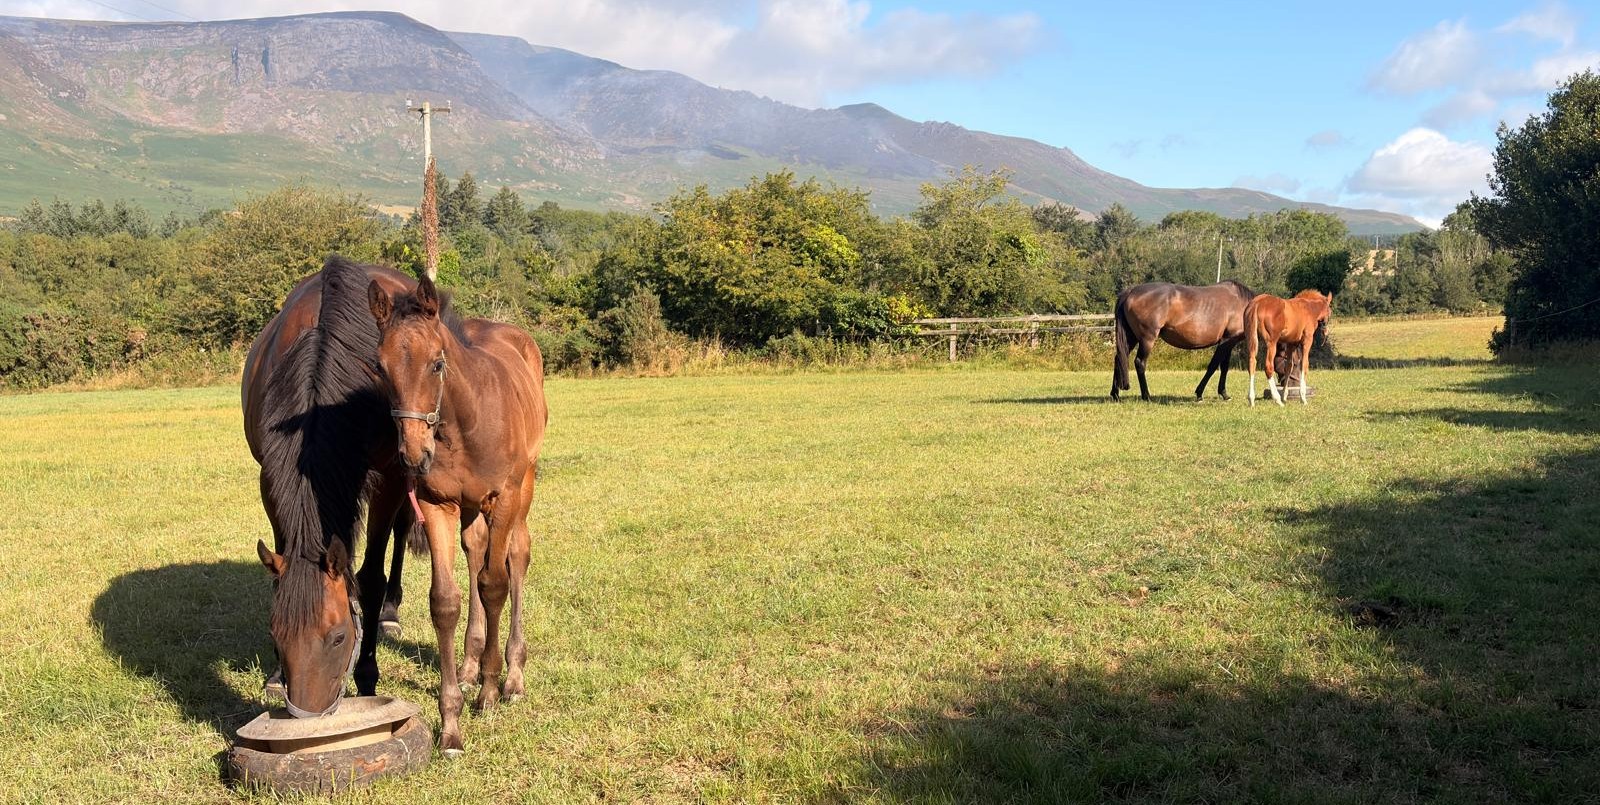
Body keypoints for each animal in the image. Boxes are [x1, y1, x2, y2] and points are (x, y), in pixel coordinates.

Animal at [241, 256, 422, 718]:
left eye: (339, 636)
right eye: (275, 633)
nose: (308, 716)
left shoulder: (390, 477)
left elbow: (370, 579)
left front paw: (368, 675)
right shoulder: (270, 480)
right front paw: (274, 676)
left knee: (401, 531)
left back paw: (391, 611)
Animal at [367, 274, 547, 756]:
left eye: (437, 364)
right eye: (380, 368)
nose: (413, 455)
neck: (464, 422)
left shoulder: (504, 497)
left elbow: (494, 584)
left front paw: (491, 689)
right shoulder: (437, 505)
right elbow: (446, 601)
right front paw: (451, 724)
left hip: (525, 485)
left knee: (517, 555)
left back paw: (513, 675)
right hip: (469, 508)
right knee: (475, 549)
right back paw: (468, 666)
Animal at [1111, 280, 1256, 401]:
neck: (1243, 305)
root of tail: (1130, 292)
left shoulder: (1229, 343)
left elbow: (1224, 367)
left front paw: (1224, 393)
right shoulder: (1227, 340)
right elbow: (1213, 366)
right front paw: (1199, 393)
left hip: (1131, 337)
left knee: (1119, 358)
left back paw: (1115, 394)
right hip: (1147, 339)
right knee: (1139, 362)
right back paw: (1146, 396)